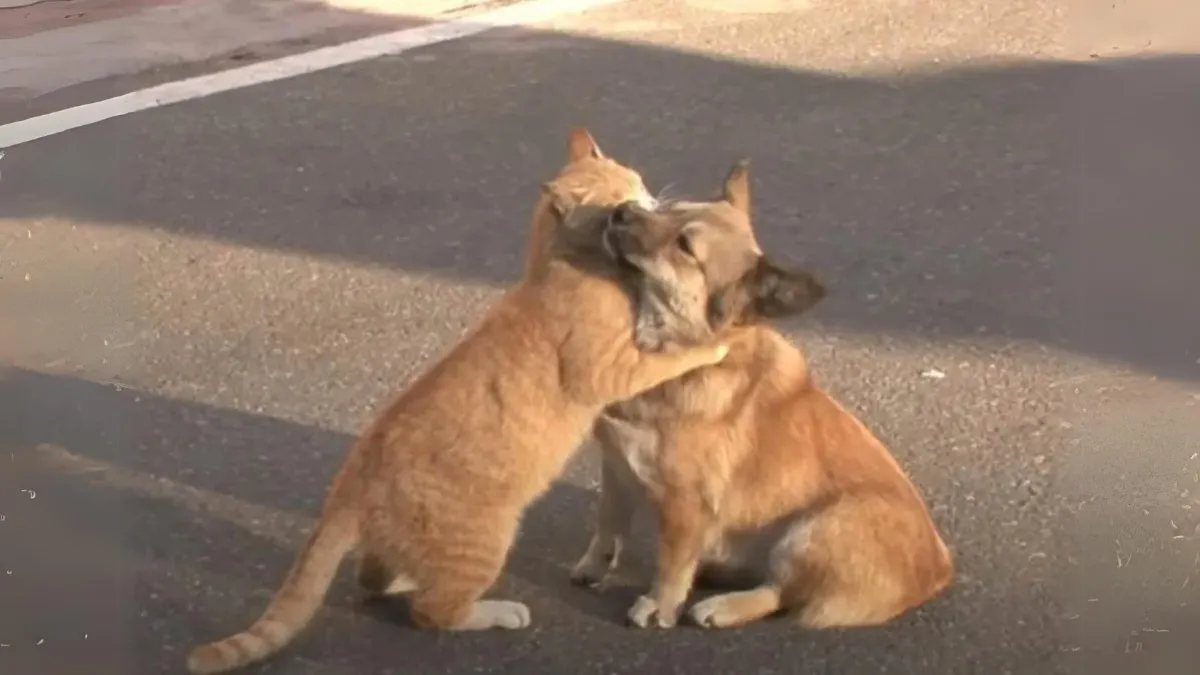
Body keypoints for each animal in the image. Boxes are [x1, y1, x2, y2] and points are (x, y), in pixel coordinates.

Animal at [184, 131, 729, 672]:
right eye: (620, 206)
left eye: (639, 186)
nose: (647, 205)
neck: (556, 263)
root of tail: (348, 486)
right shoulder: (610, 370)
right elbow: (671, 356)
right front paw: (714, 343)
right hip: (486, 541)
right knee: (434, 611)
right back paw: (497, 611)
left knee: (374, 578)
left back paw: (403, 578)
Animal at [566, 163, 950, 629]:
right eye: (669, 208)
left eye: (685, 247)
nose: (620, 211)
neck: (678, 359)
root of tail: (939, 570)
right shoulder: (617, 468)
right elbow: (609, 524)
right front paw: (594, 564)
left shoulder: (685, 504)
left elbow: (671, 564)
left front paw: (660, 605)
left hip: (814, 530)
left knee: (781, 592)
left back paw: (722, 606)